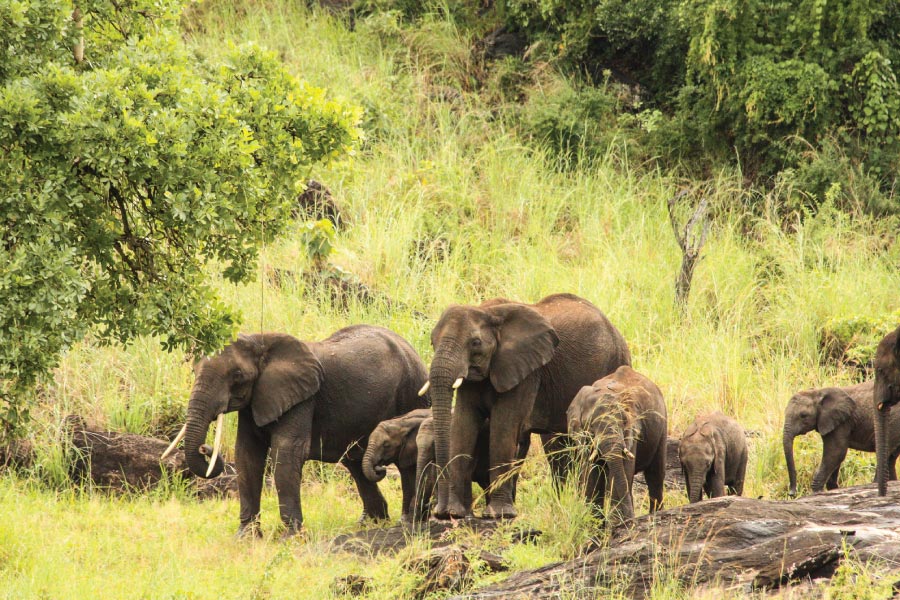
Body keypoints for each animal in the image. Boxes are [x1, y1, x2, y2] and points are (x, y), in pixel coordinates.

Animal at [162, 326, 428, 536]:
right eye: (194, 371)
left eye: (237, 375)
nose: (205, 448)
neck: (261, 340)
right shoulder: (255, 400)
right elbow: (247, 455)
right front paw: (246, 537)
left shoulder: (302, 398)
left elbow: (286, 453)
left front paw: (290, 537)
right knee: (354, 460)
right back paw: (370, 523)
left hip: (413, 388)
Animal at [425, 293, 631, 520]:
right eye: (432, 342)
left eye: (476, 343)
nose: (439, 511)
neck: (488, 312)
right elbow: (463, 424)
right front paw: (454, 513)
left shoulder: (527, 372)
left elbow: (503, 427)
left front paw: (498, 514)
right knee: (557, 448)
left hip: (614, 362)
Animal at [566, 366, 667, 522]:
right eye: (591, 425)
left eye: (623, 422)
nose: (632, 519)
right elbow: (590, 471)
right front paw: (594, 524)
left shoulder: (633, 429)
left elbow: (623, 469)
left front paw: (617, 524)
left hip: (662, 427)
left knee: (655, 475)